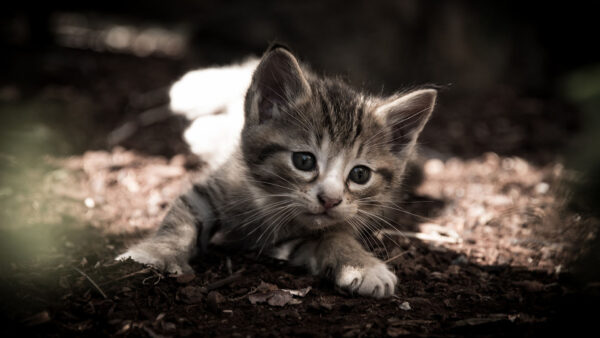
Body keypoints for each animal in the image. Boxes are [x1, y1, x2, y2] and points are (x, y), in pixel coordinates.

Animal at [117, 46, 436, 298]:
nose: (330, 200)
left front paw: (362, 265)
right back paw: (190, 94)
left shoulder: (294, 238)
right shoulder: (212, 189)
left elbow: (335, 238)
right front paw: (151, 255)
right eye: (304, 161)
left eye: (360, 175)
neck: (269, 200)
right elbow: (178, 223)